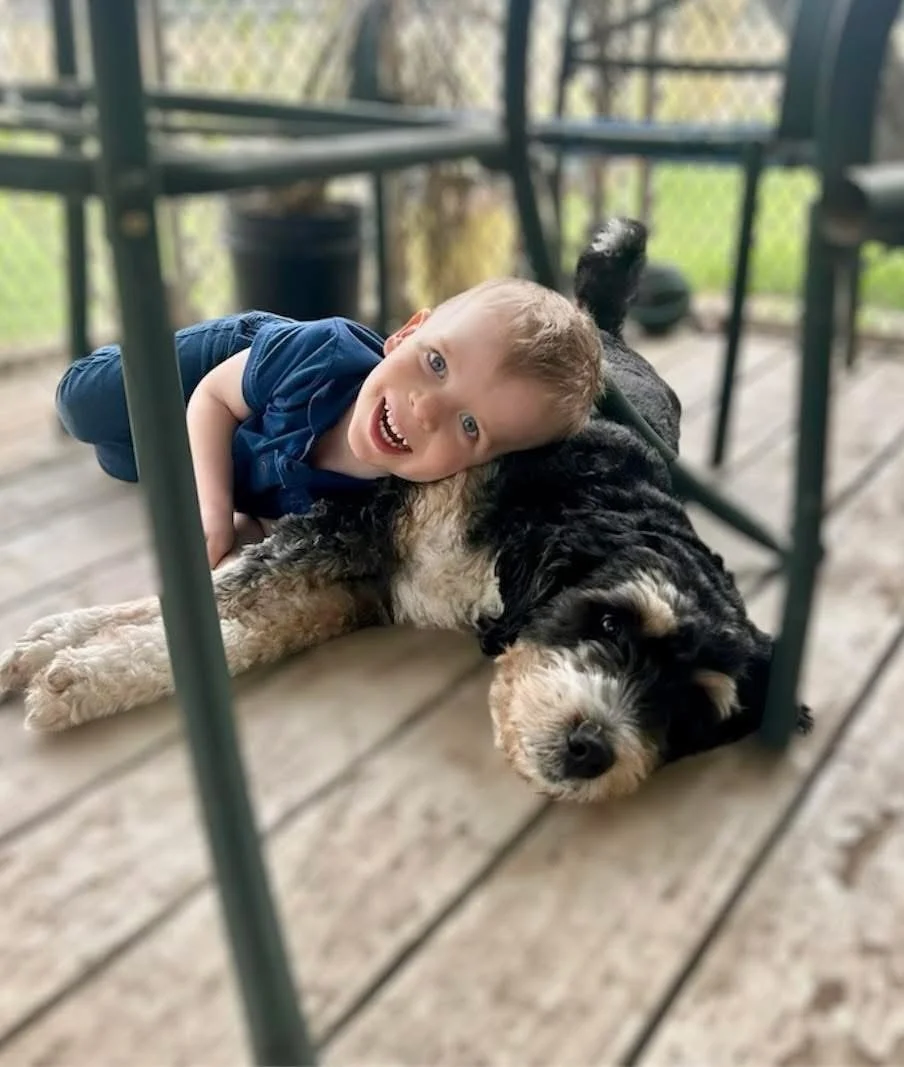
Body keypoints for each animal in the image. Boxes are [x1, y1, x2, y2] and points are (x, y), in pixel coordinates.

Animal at [0, 218, 811, 803]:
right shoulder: (355, 520)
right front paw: (61, 647)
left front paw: (77, 667)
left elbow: (249, 628)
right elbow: (223, 589)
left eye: (693, 710)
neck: (540, 505)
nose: (592, 749)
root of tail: (607, 331)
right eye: (610, 622)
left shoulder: (366, 585)